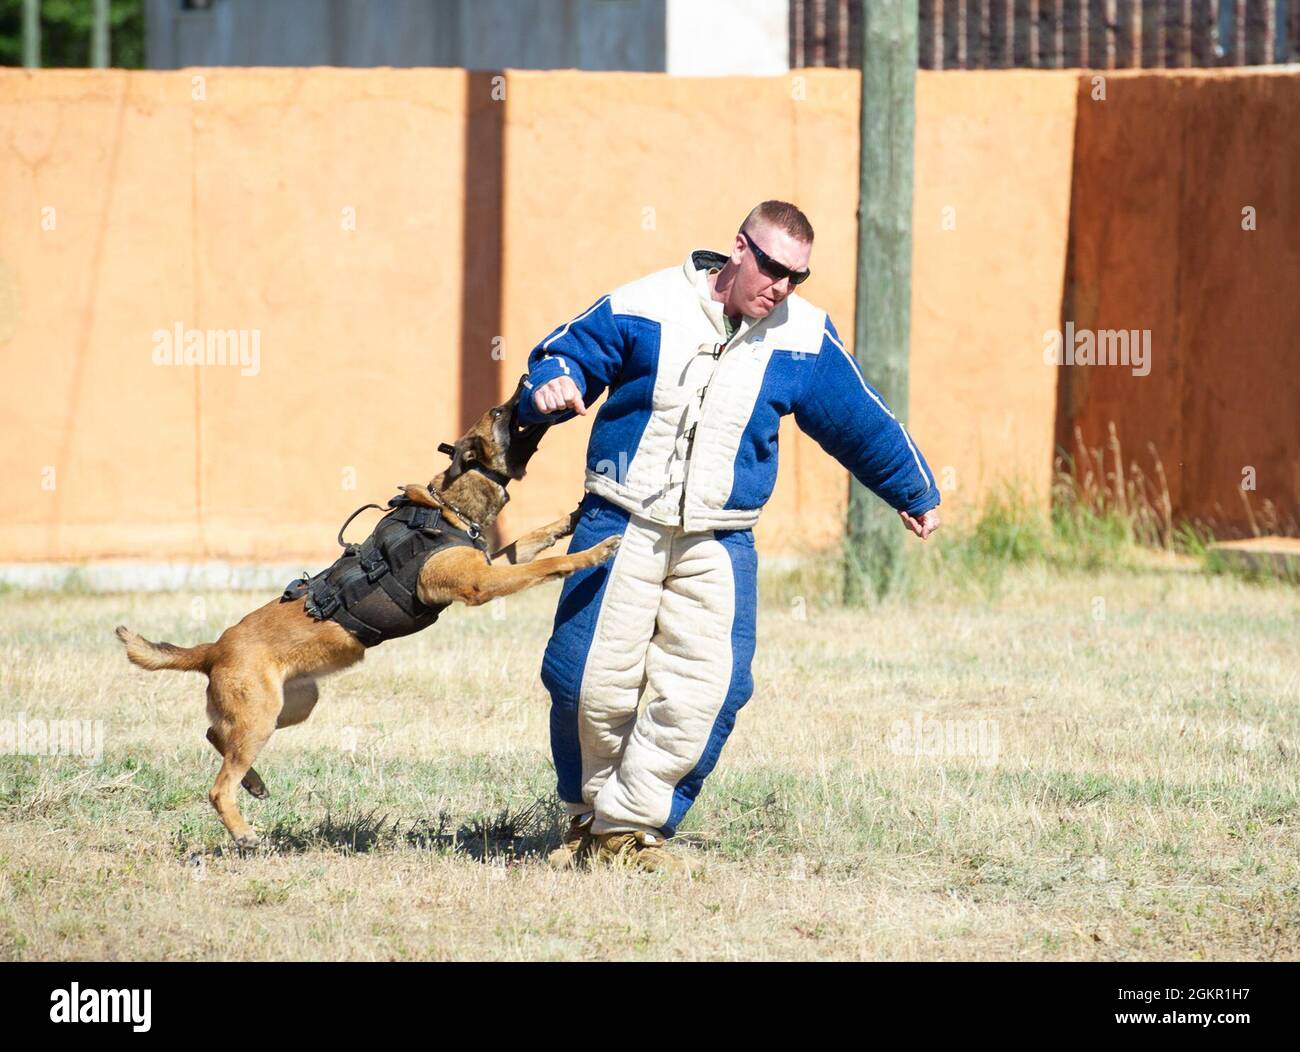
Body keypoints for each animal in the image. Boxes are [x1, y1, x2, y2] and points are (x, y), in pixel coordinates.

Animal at [114, 377, 616, 847]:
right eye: (498, 411)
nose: (529, 379)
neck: (448, 509)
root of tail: (213, 650)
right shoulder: (480, 584)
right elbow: (546, 564)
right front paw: (590, 552)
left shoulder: (491, 563)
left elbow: (532, 538)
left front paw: (571, 519)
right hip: (261, 717)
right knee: (219, 784)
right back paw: (243, 831)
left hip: (293, 705)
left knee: (214, 735)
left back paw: (253, 783)